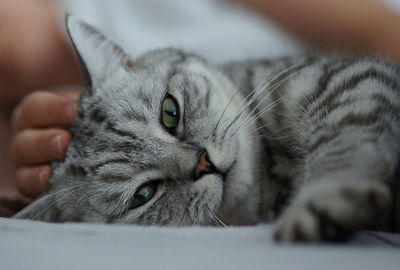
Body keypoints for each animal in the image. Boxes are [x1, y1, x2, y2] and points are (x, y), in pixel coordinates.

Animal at [14, 15, 400, 242]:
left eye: (170, 112)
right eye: (144, 194)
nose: (203, 164)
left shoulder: (349, 82)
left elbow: (343, 146)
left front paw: (322, 197)